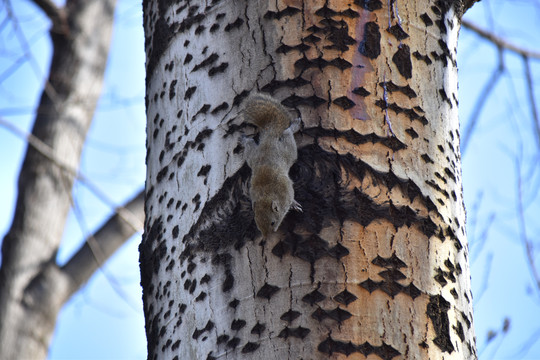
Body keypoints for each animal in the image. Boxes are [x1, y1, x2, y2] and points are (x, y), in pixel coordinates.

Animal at [243, 93, 302, 236]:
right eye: (257, 224)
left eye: (272, 223)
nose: (267, 237)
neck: (266, 196)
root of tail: (269, 137)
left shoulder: (286, 193)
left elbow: (291, 198)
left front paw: (294, 204)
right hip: (253, 157)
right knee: (250, 144)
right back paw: (245, 139)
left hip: (287, 150)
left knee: (287, 133)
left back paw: (294, 126)